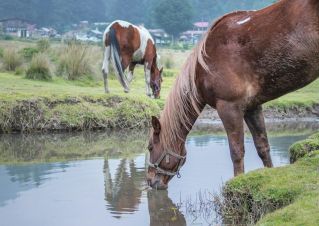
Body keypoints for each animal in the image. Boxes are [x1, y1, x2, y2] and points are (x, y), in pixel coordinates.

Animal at [147, 0, 319, 191]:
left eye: (150, 147)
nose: (150, 181)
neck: (204, 65)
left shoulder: (229, 107)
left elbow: (236, 151)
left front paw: (237, 183)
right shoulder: (252, 107)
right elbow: (263, 146)